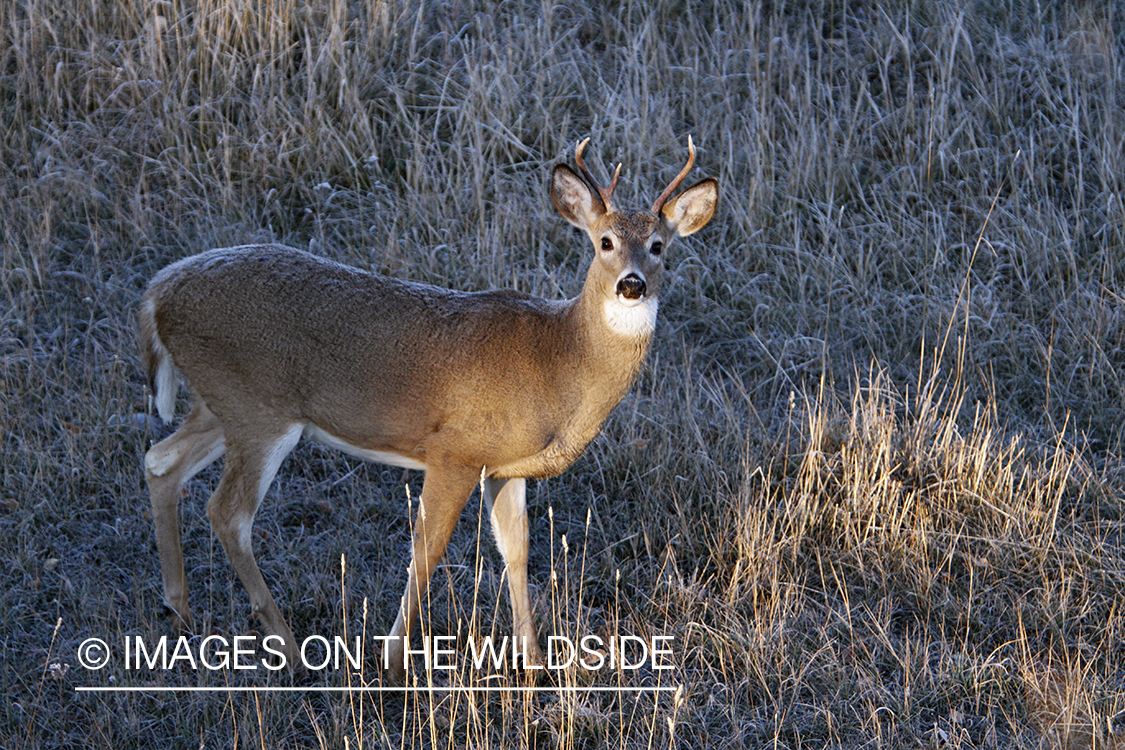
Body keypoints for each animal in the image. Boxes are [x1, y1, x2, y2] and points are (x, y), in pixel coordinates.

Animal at [140, 136, 715, 679]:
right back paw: (288, 647)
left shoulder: (504, 466)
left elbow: (517, 550)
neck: (559, 360)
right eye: (605, 242)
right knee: (227, 513)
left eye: (658, 246)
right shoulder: (454, 450)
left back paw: (180, 609)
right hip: (259, 410)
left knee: (160, 460)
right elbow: (427, 550)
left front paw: (533, 663)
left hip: (223, 402)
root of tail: (156, 292)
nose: (631, 284)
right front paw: (394, 665)